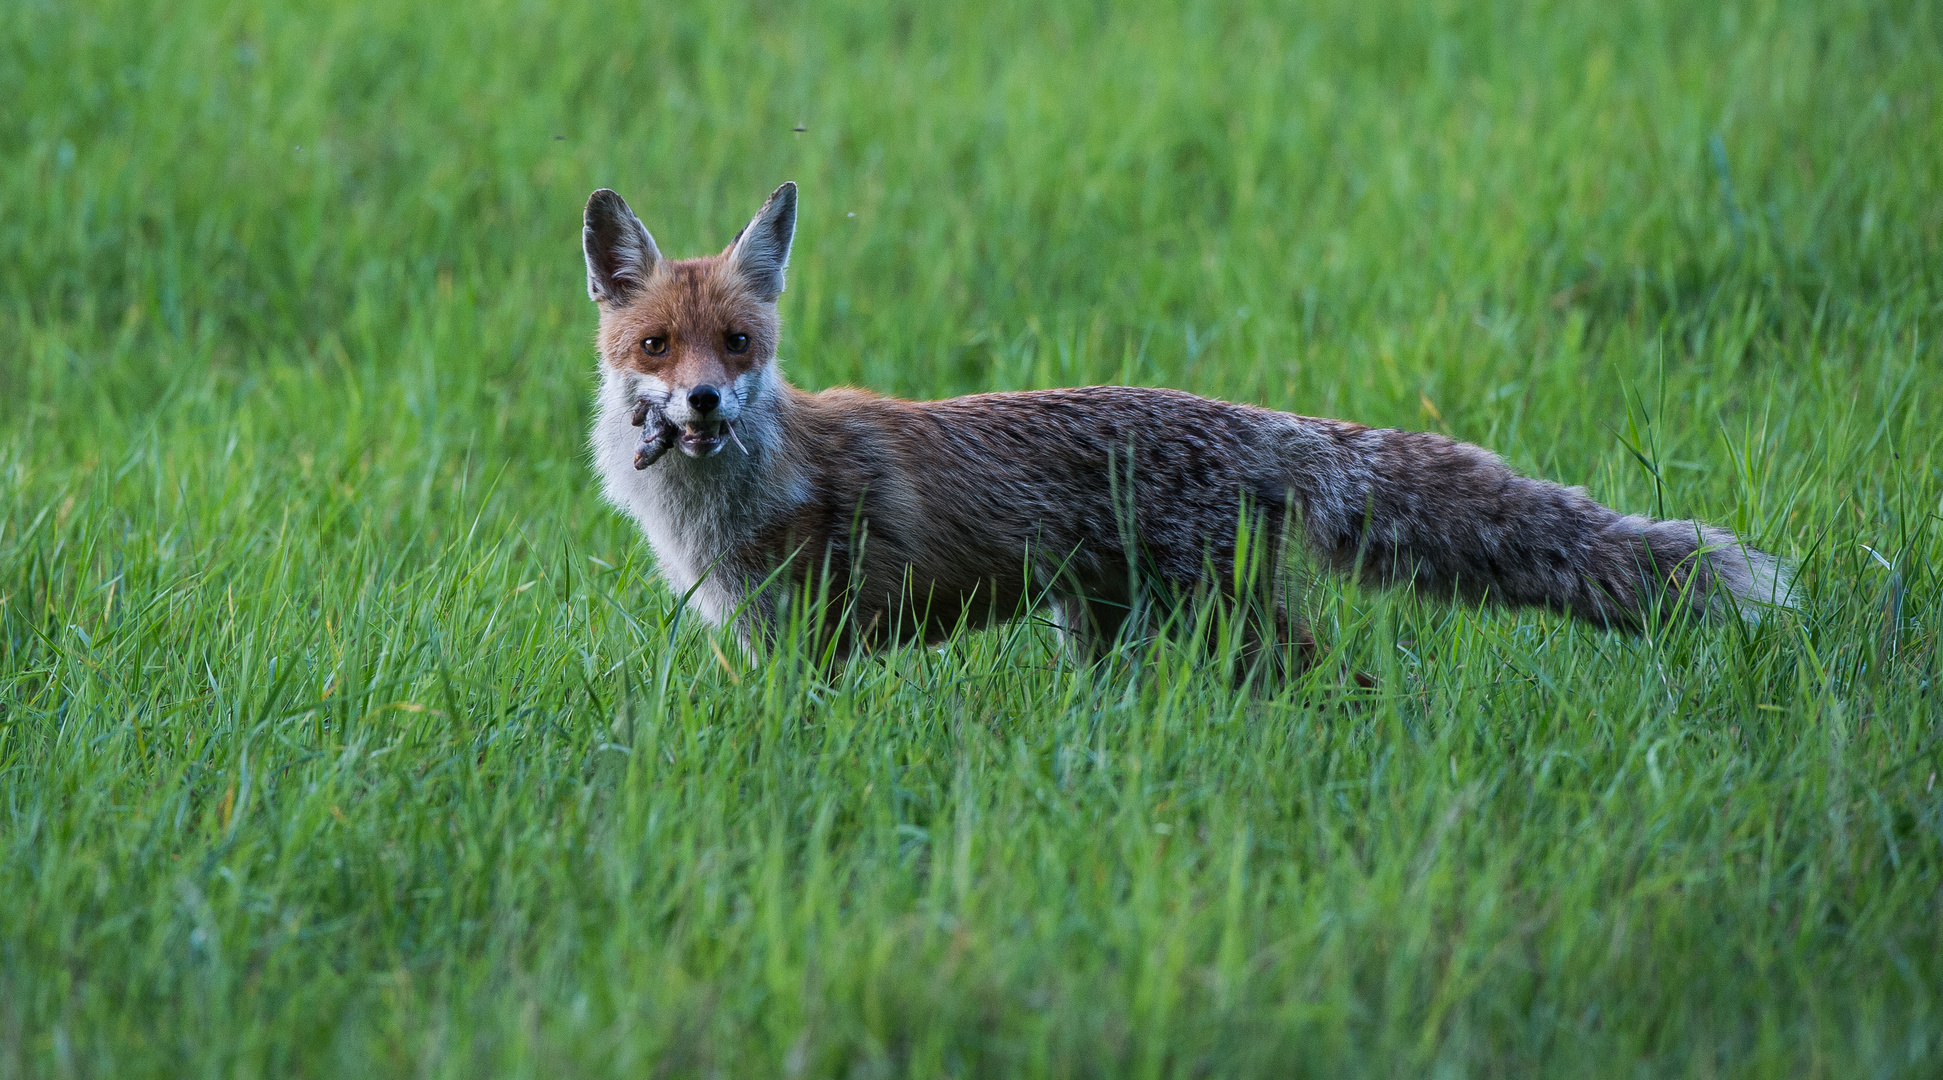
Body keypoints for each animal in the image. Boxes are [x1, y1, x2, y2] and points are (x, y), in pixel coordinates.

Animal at [582, 184, 1795, 672]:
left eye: (738, 344)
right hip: (1102, 630)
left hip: (1220, 624)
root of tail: (1262, 423)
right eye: (657, 347)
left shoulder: (810, 645)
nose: (702, 404)